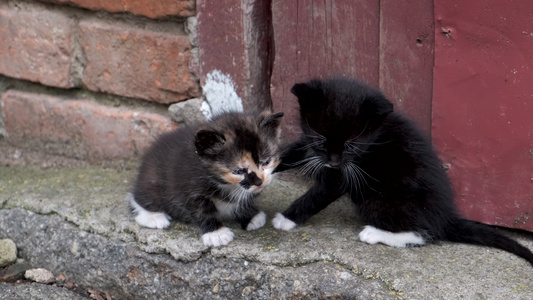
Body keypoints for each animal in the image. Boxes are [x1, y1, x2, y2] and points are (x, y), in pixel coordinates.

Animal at [130, 110, 282, 246]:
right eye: (238, 171)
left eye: (266, 162)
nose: (259, 182)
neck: (226, 185)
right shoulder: (190, 189)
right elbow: (202, 211)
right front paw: (216, 233)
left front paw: (250, 216)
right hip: (153, 180)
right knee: (138, 197)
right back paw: (153, 217)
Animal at [274, 77, 532, 264]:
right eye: (321, 140)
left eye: (351, 146)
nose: (334, 162)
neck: (374, 136)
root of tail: (444, 217)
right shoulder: (310, 146)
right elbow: (289, 153)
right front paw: (267, 166)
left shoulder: (345, 173)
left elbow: (320, 193)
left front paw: (286, 219)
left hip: (382, 198)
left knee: (424, 234)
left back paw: (374, 233)